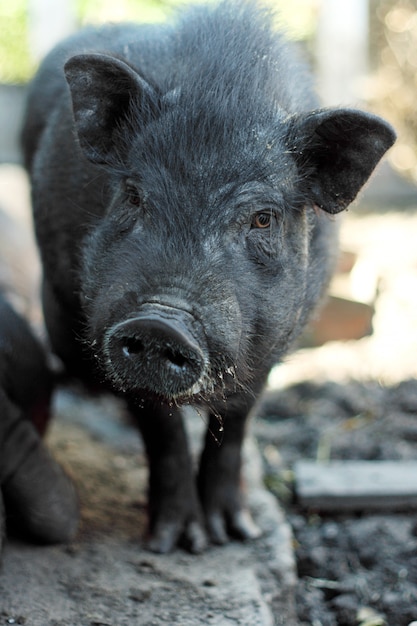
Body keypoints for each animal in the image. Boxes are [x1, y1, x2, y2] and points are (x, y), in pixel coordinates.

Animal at [21, 1, 394, 552]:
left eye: (262, 218)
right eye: (133, 195)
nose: (161, 322)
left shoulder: (275, 337)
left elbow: (237, 420)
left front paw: (235, 534)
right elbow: (161, 426)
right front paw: (176, 543)